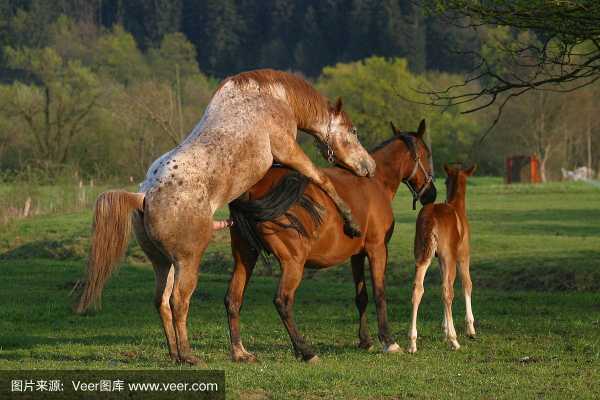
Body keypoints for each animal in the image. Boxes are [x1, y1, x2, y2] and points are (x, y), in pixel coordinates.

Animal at [75, 69, 376, 366]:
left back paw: (183, 354)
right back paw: (189, 355)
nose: (369, 167)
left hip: (164, 263)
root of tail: (144, 196)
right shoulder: (286, 149)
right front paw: (350, 221)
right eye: (354, 131)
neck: (272, 96)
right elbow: (321, 177)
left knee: (161, 301)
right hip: (188, 261)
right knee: (178, 301)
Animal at [225, 119, 436, 362]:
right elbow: (380, 294)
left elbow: (361, 296)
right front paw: (388, 340)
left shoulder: (357, 254)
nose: (431, 194)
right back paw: (305, 350)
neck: (375, 182)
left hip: (245, 257)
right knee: (282, 301)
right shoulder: (377, 249)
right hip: (293, 262)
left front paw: (365, 340)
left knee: (233, 300)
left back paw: (239, 351)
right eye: (427, 154)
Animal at [408, 162, 478, 354]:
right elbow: (467, 284)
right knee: (447, 291)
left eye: (445, 180)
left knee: (418, 288)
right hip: (449, 257)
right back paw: (454, 340)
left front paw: (445, 328)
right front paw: (470, 328)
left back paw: (412, 342)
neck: (457, 208)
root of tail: (431, 218)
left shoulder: (439, 260)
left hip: (422, 255)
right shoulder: (462, 256)